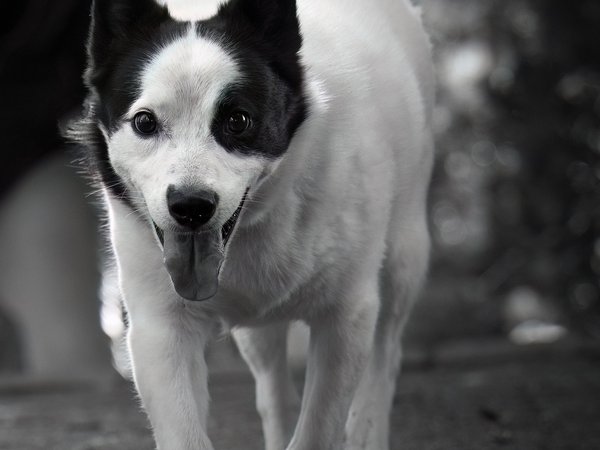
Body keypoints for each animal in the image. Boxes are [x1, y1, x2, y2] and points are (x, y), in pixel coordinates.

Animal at [70, 0, 434, 448]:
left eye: (238, 120)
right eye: (144, 122)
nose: (190, 207)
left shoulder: (347, 317)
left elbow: (318, 429)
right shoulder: (161, 327)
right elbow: (185, 430)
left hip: (404, 255)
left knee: (386, 354)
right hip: (258, 334)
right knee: (274, 389)